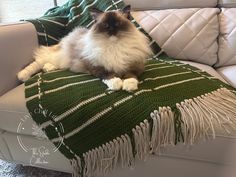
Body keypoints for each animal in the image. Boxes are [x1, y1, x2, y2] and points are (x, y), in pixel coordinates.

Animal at [17, 5, 152, 91]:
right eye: (106, 25)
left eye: (117, 24)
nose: (112, 31)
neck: (114, 47)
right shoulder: (95, 66)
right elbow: (108, 74)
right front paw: (117, 83)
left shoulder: (135, 65)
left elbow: (131, 75)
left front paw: (129, 86)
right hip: (59, 55)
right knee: (40, 61)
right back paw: (22, 75)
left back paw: (48, 68)